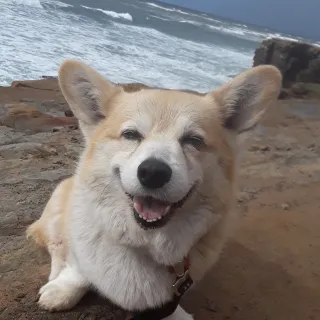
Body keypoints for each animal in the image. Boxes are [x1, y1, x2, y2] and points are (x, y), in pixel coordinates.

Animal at [27, 60, 282, 320]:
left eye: (193, 140)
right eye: (131, 135)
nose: (153, 172)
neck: (145, 243)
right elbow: (79, 268)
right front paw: (63, 289)